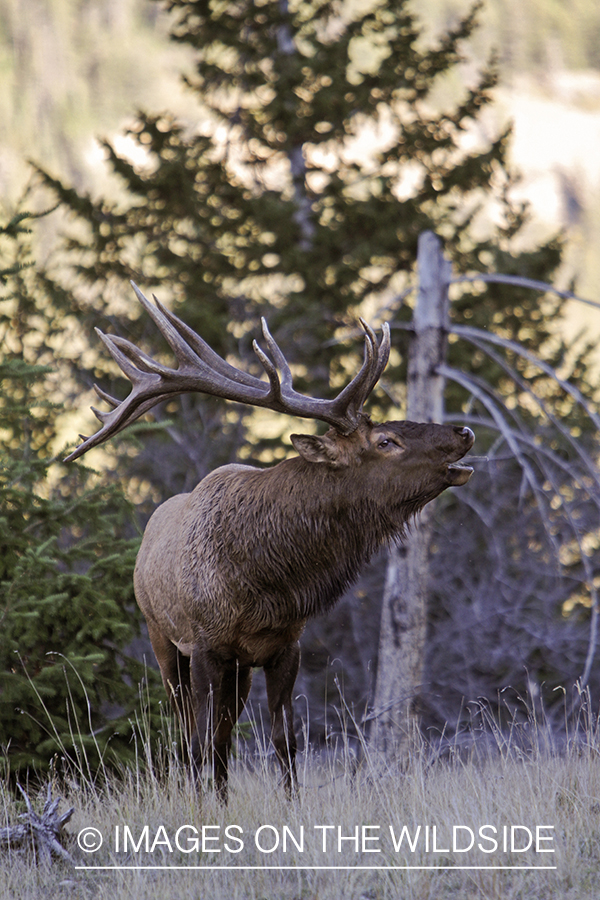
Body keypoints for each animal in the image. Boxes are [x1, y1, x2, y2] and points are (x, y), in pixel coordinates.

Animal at [65, 284, 476, 800]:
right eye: (386, 441)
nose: (464, 431)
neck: (264, 582)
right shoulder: (205, 644)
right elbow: (198, 740)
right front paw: (198, 808)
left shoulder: (284, 645)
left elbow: (284, 739)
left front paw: (288, 803)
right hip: (162, 639)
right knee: (187, 732)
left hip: (238, 669)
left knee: (223, 735)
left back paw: (223, 799)